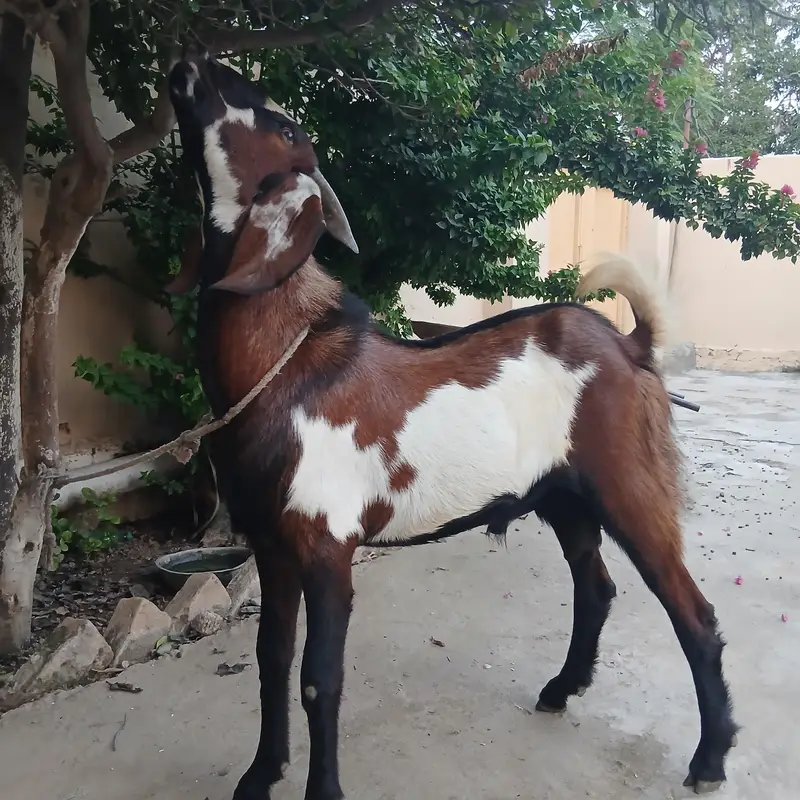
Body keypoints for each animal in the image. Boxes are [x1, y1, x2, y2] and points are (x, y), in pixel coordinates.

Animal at [166, 52, 737, 800]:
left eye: (283, 125)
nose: (198, 64)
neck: (285, 364)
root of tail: (631, 345)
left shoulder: (327, 546)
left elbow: (320, 680)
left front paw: (321, 790)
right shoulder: (270, 543)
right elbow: (270, 660)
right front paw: (259, 778)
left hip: (630, 485)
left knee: (691, 611)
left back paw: (710, 757)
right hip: (564, 496)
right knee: (596, 587)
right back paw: (561, 689)